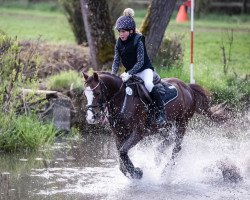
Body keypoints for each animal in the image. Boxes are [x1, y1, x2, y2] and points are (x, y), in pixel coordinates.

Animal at [83, 72, 224, 180]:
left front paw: (137, 172)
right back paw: (158, 156)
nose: (91, 118)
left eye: (97, 93)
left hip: (181, 123)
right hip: (165, 126)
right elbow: (121, 158)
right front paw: (133, 172)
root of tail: (187, 87)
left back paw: (165, 172)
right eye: (85, 94)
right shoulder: (119, 134)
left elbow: (123, 152)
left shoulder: (138, 133)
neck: (122, 100)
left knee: (176, 147)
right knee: (168, 141)